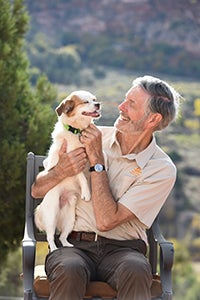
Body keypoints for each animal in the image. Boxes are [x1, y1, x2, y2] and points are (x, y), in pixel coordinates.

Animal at [34, 90, 101, 252]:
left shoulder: (89, 154)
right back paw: (54, 249)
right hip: (51, 215)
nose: (98, 104)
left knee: (63, 236)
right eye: (85, 102)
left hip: (70, 219)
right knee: (50, 236)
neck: (76, 131)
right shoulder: (73, 160)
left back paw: (68, 245)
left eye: (94, 99)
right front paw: (86, 192)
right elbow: (82, 177)